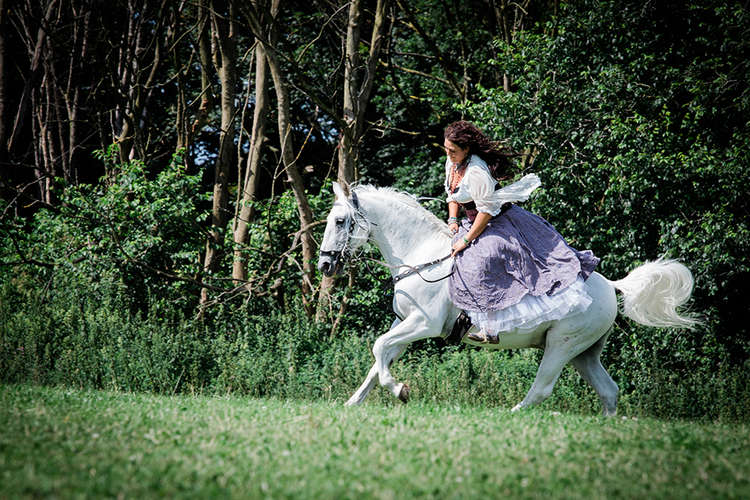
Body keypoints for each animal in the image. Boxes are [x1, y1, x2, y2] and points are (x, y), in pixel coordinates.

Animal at [318, 182, 700, 416]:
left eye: (340, 221)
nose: (323, 264)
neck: (422, 256)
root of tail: (611, 286)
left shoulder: (423, 324)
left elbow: (379, 348)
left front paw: (400, 390)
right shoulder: (405, 323)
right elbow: (378, 359)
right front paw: (353, 403)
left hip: (562, 345)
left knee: (543, 388)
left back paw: (513, 413)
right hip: (585, 353)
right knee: (609, 391)